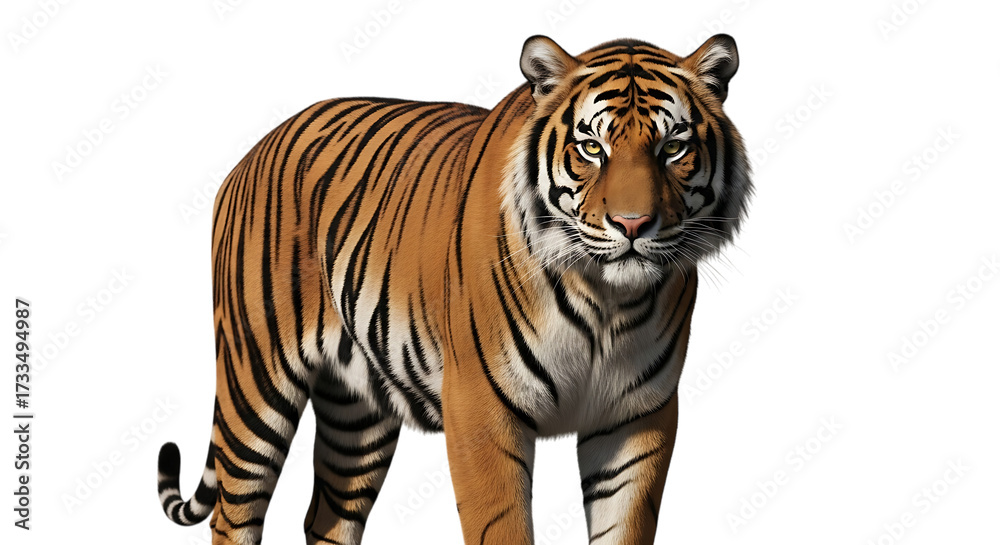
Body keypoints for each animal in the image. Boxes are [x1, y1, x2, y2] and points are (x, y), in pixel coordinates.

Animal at [156, 33, 752, 545]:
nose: (633, 225)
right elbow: (503, 527)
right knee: (234, 514)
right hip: (255, 380)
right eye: (591, 148)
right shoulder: (481, 411)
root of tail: (254, 150)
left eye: (673, 148)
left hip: (357, 415)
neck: (608, 300)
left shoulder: (636, 419)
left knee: (327, 518)